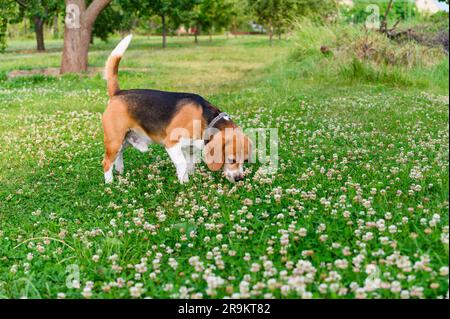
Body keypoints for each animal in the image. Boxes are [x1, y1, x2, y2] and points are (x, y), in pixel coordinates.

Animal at [101, 35, 253, 184]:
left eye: (245, 160)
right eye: (231, 160)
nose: (239, 178)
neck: (205, 118)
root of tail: (118, 93)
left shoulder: (191, 148)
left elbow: (190, 165)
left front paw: (190, 181)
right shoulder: (172, 145)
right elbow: (183, 164)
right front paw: (184, 183)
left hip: (125, 140)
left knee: (118, 156)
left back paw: (120, 172)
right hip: (114, 140)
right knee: (106, 162)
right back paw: (110, 183)